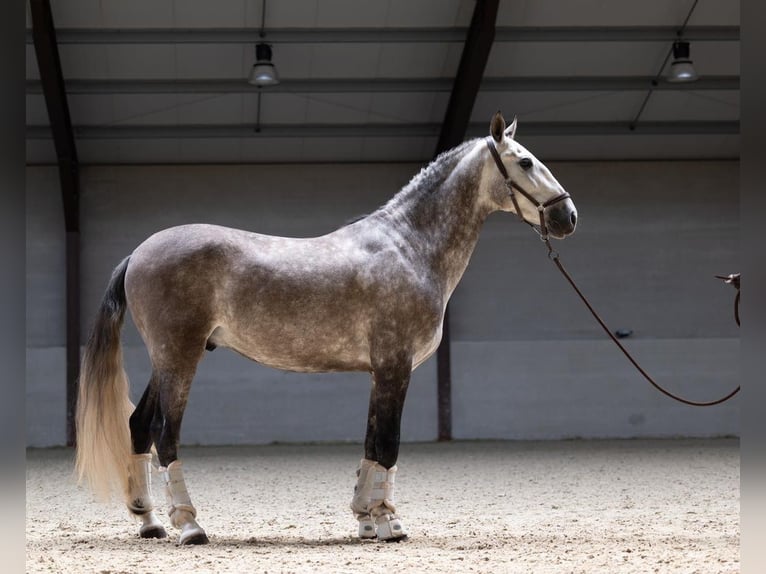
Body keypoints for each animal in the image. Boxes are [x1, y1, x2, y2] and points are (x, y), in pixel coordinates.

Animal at [75, 112, 577, 545]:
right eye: (526, 161)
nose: (567, 216)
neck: (409, 247)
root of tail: (139, 253)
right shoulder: (396, 366)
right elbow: (389, 445)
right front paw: (388, 523)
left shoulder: (381, 372)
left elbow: (373, 443)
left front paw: (367, 520)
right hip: (179, 355)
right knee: (164, 431)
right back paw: (189, 526)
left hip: (166, 359)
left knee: (139, 426)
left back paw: (150, 523)